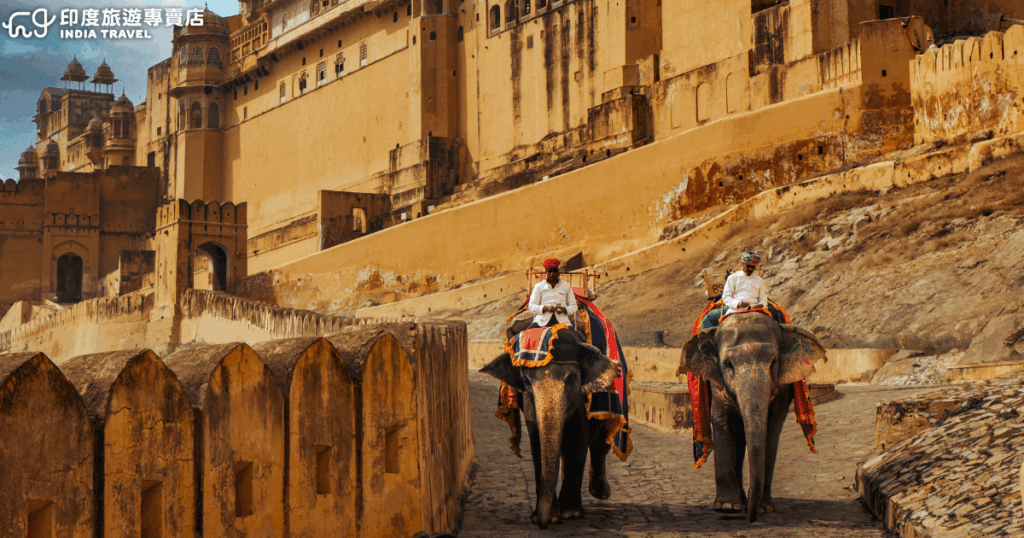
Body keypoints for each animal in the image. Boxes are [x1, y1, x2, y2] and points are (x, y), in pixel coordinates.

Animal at [482, 327, 621, 529]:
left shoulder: (581, 398)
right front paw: (550, 517)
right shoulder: (528, 400)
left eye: (571, 379)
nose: (543, 523)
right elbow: (536, 440)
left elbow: (578, 436)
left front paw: (570, 514)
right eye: (526, 381)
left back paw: (600, 493)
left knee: (601, 441)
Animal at [679, 312, 827, 522]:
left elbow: (771, 430)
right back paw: (739, 502)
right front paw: (726, 507)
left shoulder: (782, 387)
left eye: (774, 363)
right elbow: (724, 425)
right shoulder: (717, 382)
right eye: (727, 364)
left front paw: (764, 508)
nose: (751, 518)